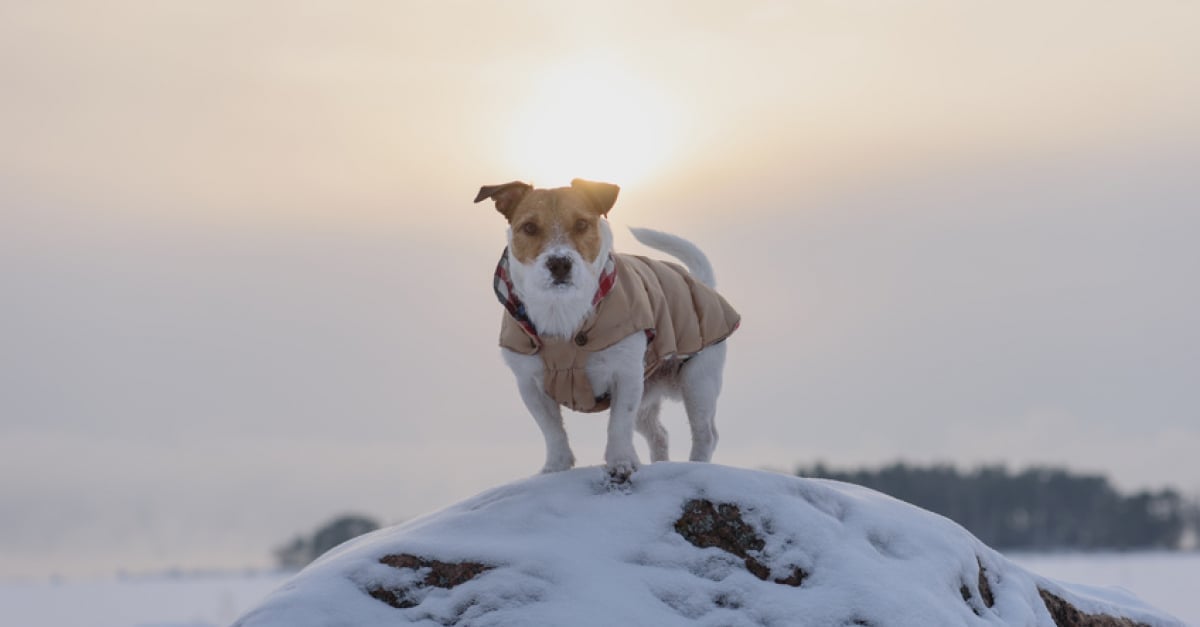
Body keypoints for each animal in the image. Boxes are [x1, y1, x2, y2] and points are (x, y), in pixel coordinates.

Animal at [470, 177, 734, 480]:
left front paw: (621, 462)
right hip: (648, 392)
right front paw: (555, 466)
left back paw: (697, 465)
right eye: (529, 227)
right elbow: (552, 430)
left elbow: (618, 425)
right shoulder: (530, 384)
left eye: (582, 224)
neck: (562, 311)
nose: (559, 263)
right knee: (659, 434)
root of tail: (703, 284)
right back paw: (661, 465)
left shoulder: (626, 375)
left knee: (705, 434)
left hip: (697, 381)